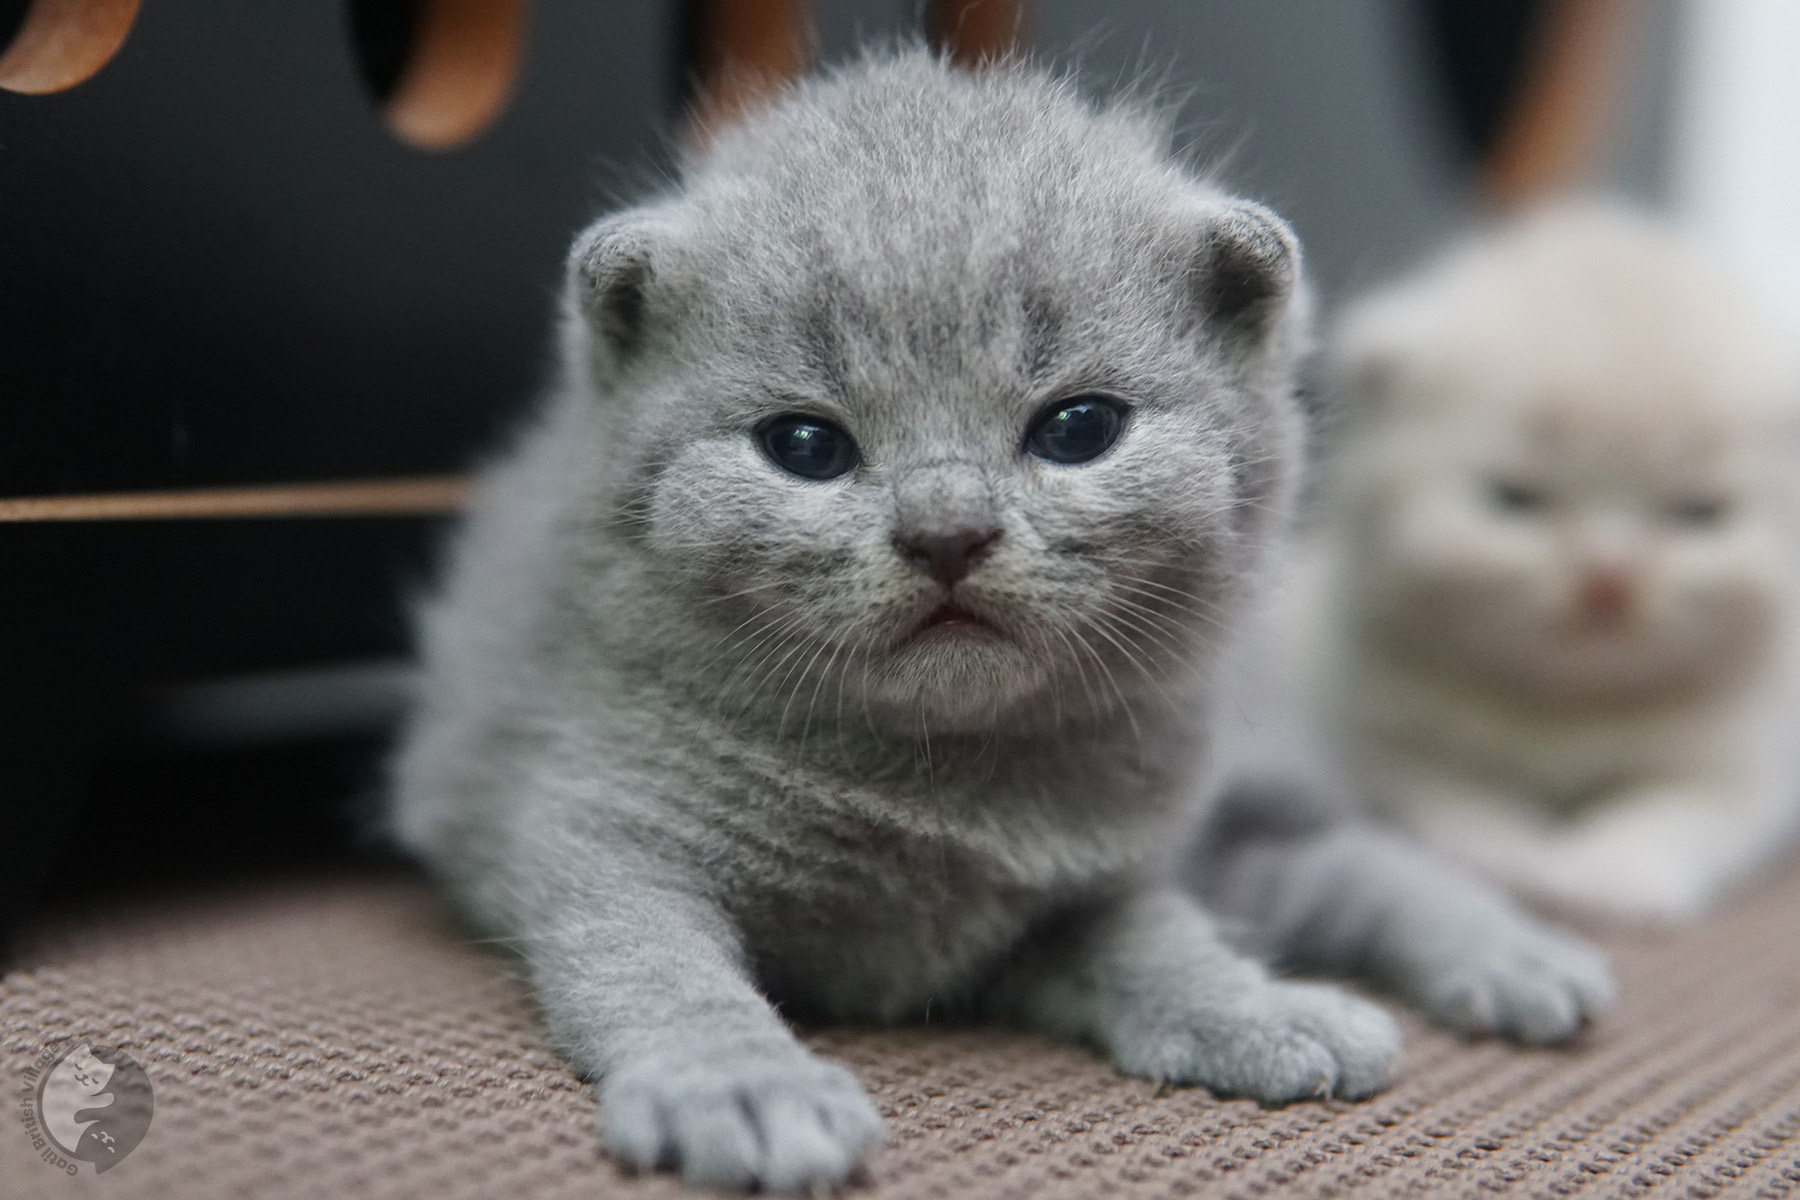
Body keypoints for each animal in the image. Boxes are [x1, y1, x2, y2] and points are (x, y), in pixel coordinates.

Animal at [387, 51, 1612, 1194]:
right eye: (805, 446)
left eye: (1077, 429)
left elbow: (1163, 938)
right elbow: (653, 965)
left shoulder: (1105, 879)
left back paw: (1517, 954)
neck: (942, 790)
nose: (946, 531)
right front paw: (742, 1088)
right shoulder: (595, 826)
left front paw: (1255, 1009)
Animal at [1303, 204, 1800, 921]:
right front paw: (1500, 851)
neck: (1570, 714)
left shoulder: (1755, 761)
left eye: (1701, 513)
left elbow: (1680, 810)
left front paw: (1612, 872)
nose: (1609, 578)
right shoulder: (1368, 731)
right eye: (1514, 499)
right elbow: (1446, 791)